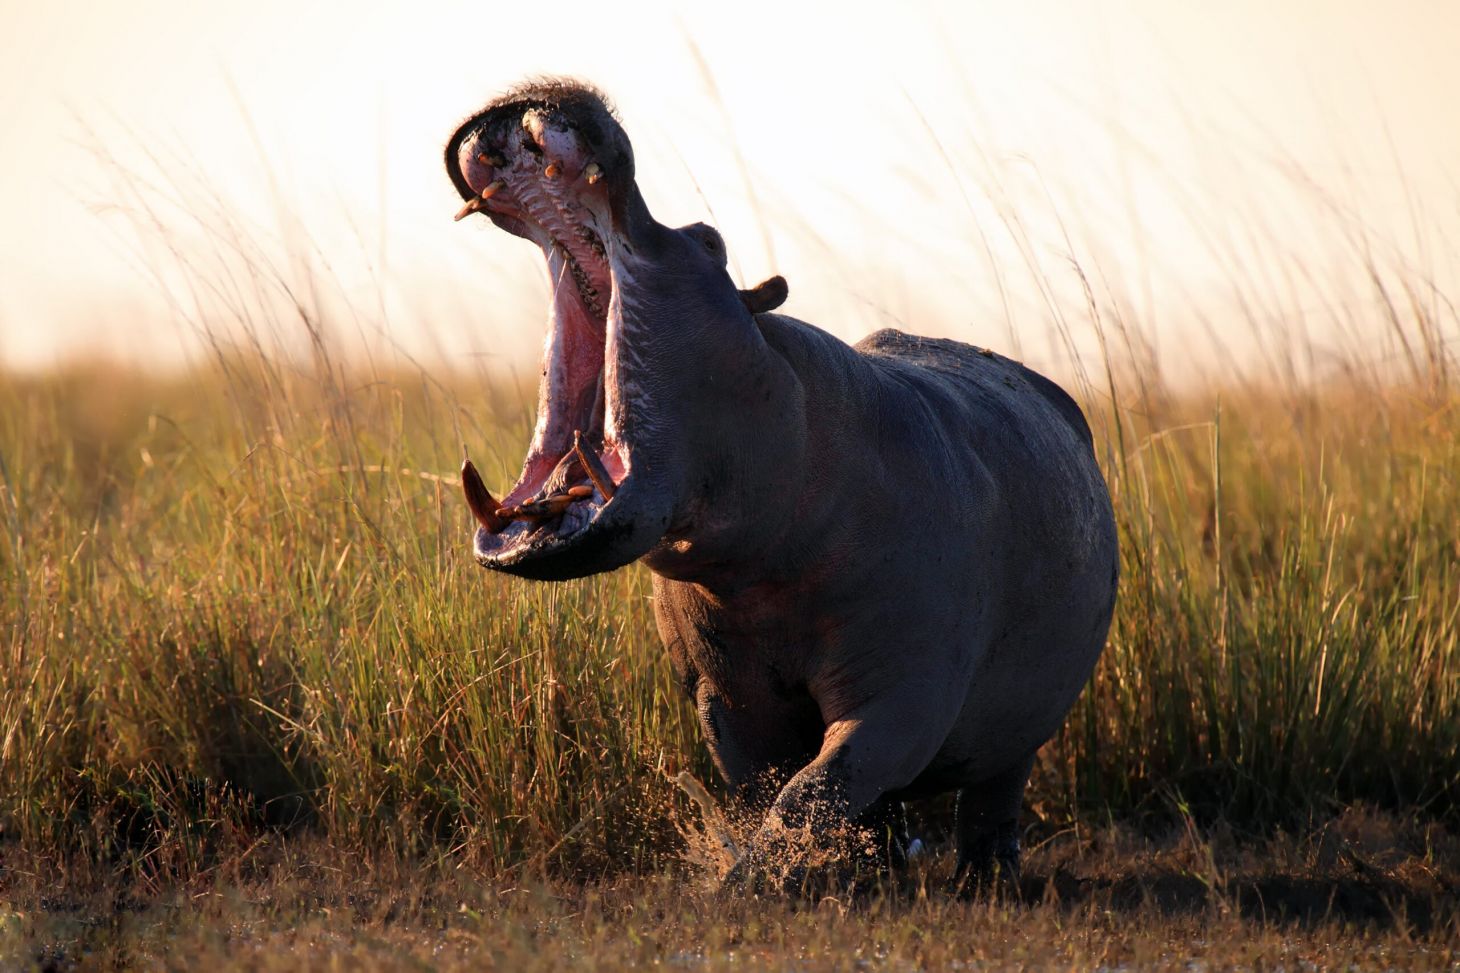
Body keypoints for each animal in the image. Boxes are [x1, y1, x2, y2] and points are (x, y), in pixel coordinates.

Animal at [446, 79, 1119, 894]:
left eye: (709, 239)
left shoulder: (906, 696)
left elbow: (817, 787)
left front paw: (749, 884)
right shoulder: (725, 695)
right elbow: (777, 787)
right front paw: (801, 874)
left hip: (1022, 730)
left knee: (990, 796)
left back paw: (985, 880)